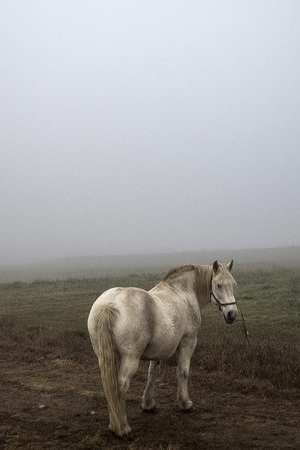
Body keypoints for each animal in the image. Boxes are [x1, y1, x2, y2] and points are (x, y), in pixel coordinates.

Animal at [86, 260, 237, 436]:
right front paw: (185, 403)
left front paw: (148, 404)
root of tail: (110, 304)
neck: (183, 293)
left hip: (105, 357)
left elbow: (152, 374)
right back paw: (122, 427)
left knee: (109, 385)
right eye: (218, 285)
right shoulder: (188, 342)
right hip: (130, 359)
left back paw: (113, 423)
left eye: (232, 284)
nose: (232, 314)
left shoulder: (157, 351)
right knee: (121, 385)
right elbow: (183, 372)